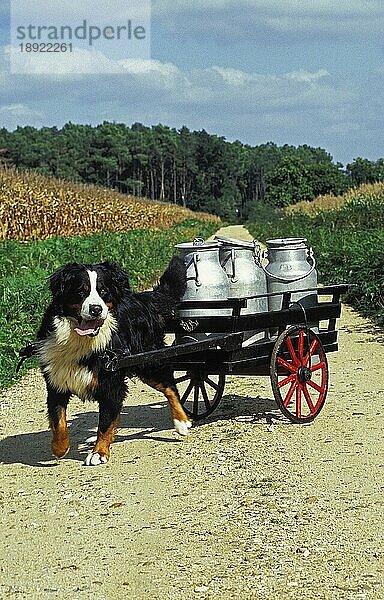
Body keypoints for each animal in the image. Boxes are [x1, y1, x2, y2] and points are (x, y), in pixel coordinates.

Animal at [36, 258, 191, 464]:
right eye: (81, 291)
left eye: (103, 291)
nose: (96, 309)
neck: (82, 342)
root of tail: (142, 298)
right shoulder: (56, 381)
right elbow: (58, 420)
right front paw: (59, 448)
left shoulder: (111, 383)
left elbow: (106, 421)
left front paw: (99, 452)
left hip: (148, 362)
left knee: (170, 387)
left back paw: (182, 422)